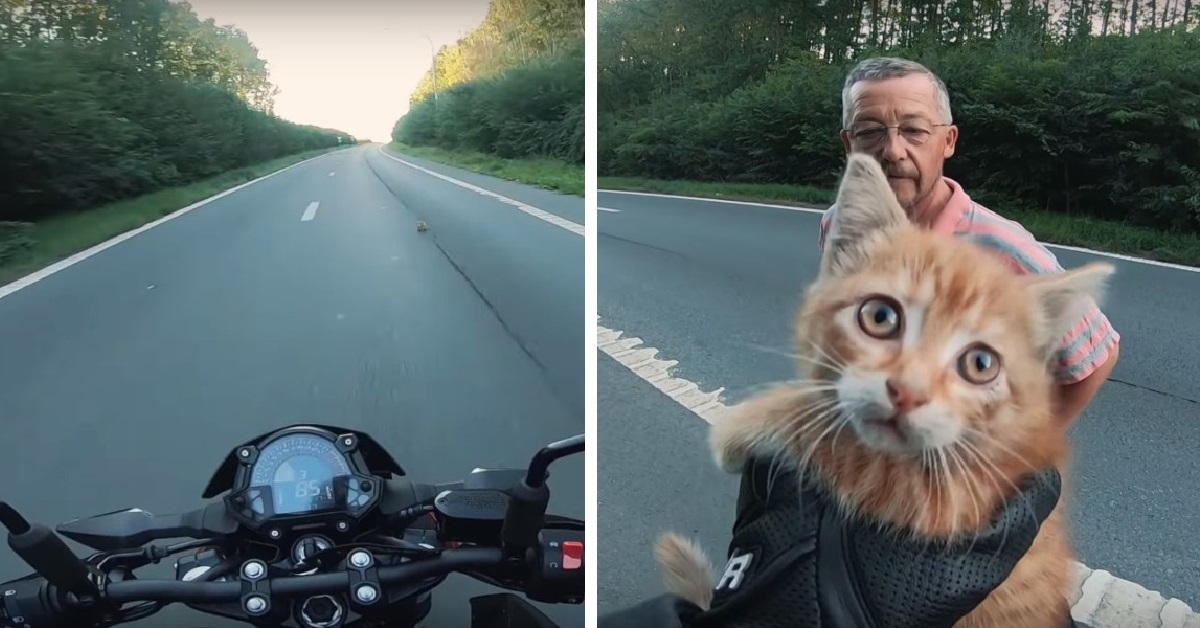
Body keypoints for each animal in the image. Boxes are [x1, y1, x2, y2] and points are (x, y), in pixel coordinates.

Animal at [657, 153, 1113, 628]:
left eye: (980, 364)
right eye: (880, 316)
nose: (907, 391)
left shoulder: (952, 504)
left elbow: (831, 439)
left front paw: (741, 426)